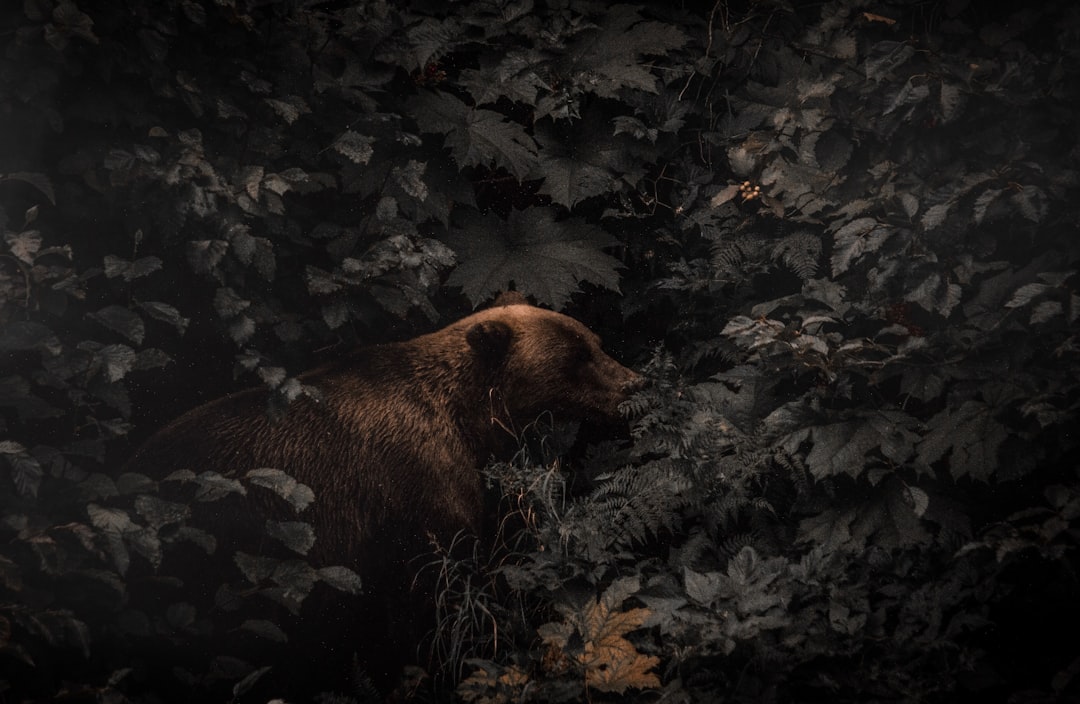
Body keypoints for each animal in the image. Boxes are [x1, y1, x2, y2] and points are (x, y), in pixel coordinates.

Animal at [119, 297, 642, 698]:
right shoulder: (416, 491)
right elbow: (442, 594)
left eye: (594, 342)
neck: (469, 418)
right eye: (577, 356)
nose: (634, 383)